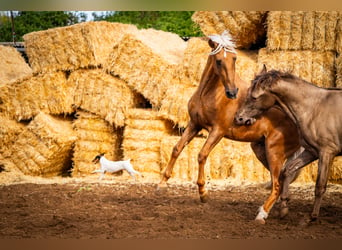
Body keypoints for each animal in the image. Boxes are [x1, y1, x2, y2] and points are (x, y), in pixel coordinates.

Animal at [158, 30, 300, 224]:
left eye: (234, 59)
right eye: (219, 60)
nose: (232, 92)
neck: (208, 95)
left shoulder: (217, 131)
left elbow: (202, 155)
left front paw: (203, 193)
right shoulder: (194, 125)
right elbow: (176, 148)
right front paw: (162, 183)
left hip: (274, 152)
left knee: (277, 184)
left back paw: (262, 215)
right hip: (262, 151)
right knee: (283, 178)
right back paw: (281, 209)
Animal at [235, 65, 342, 222]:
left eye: (254, 97)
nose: (239, 118)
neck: (314, 108)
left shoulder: (326, 153)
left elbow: (320, 186)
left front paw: (313, 217)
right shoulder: (312, 152)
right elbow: (288, 170)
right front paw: (284, 206)